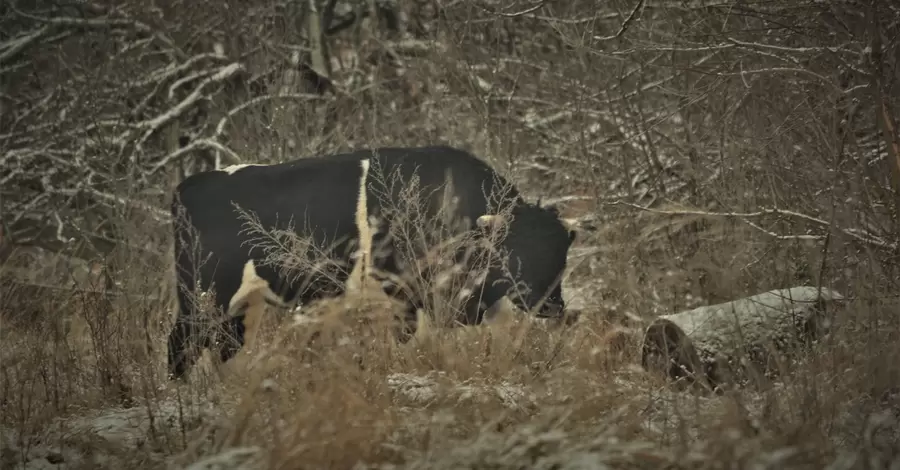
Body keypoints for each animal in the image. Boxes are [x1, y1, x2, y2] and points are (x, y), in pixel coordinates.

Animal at [167, 145, 576, 380]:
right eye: (516, 253)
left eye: (561, 256)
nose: (553, 306)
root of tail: (189, 185)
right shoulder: (410, 292)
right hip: (202, 296)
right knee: (181, 346)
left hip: (239, 305)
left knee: (224, 348)